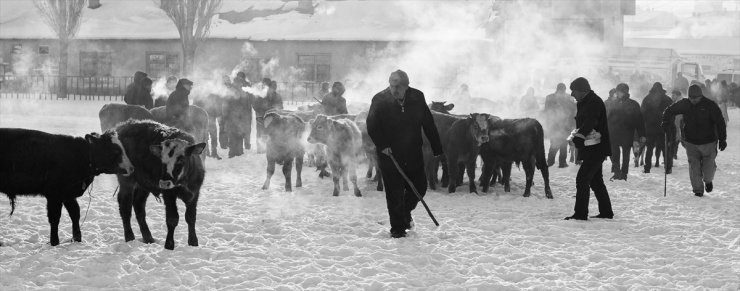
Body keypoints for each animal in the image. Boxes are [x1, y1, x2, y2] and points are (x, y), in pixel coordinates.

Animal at [0, 129, 133, 245]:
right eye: (115, 151)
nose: (131, 168)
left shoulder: (68, 195)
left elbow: (75, 213)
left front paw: (77, 239)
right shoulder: (54, 195)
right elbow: (55, 218)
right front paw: (54, 242)